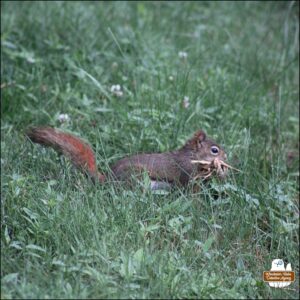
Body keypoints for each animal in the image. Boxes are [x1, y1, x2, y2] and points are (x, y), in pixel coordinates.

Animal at [27, 127, 227, 189]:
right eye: (214, 150)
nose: (226, 157)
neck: (191, 155)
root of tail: (109, 179)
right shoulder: (186, 171)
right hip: (137, 176)